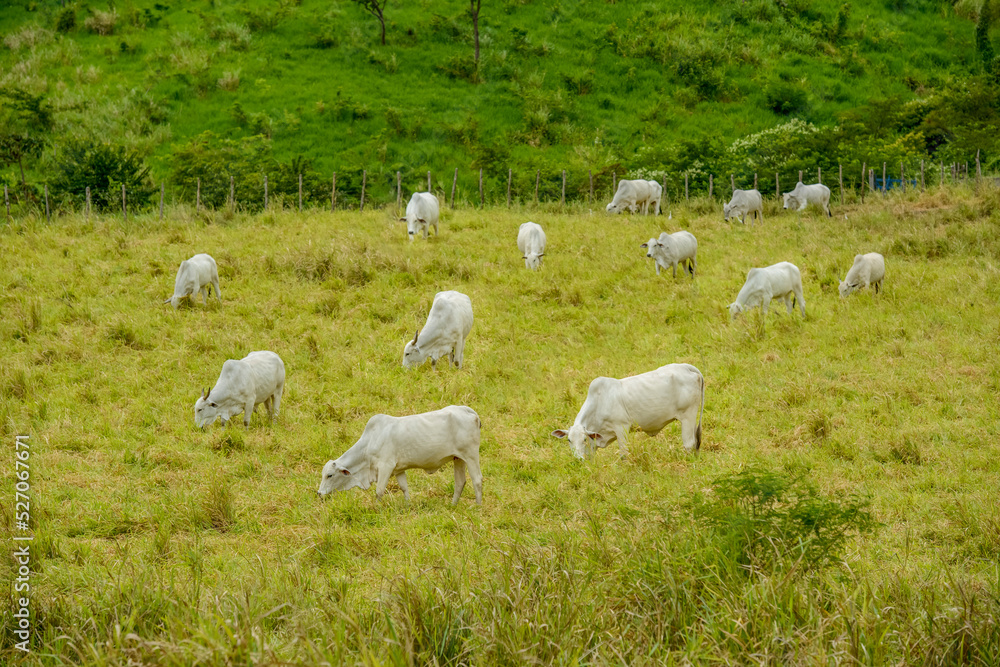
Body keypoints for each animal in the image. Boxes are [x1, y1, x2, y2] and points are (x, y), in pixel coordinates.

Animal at [317, 405, 483, 505]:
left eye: (329, 475)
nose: (319, 493)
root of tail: (466, 410)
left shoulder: (386, 466)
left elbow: (379, 491)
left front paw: (376, 508)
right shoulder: (399, 469)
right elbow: (404, 488)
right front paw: (408, 505)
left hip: (471, 455)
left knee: (477, 480)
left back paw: (477, 506)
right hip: (458, 458)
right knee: (460, 482)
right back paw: (453, 505)